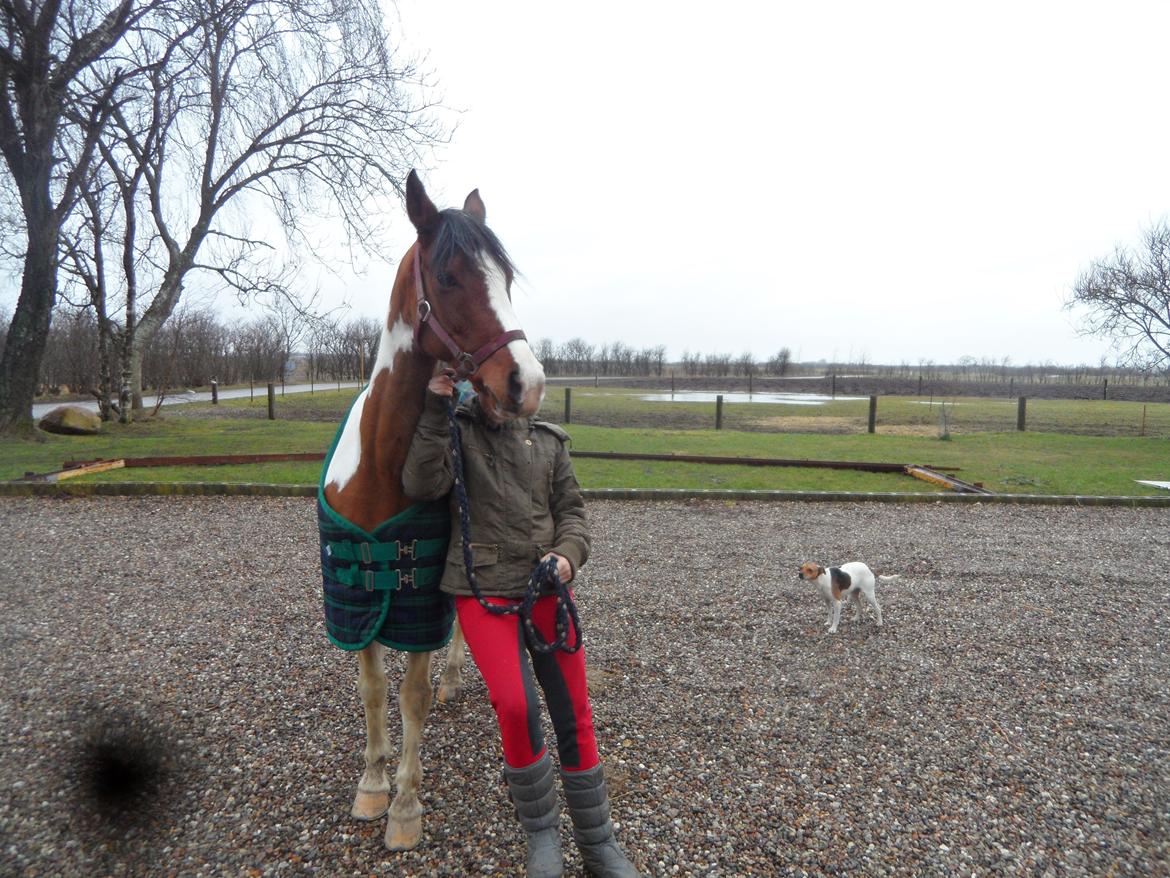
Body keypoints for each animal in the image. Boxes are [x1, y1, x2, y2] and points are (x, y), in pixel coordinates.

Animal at [319, 170, 546, 850]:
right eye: (447, 277)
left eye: (506, 278)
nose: (527, 382)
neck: (379, 468)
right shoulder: (362, 594)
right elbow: (372, 689)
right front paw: (372, 785)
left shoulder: (420, 592)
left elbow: (413, 694)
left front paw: (405, 807)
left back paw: (453, 678)